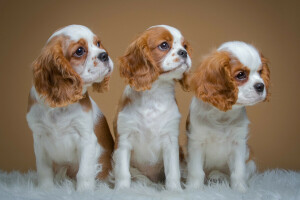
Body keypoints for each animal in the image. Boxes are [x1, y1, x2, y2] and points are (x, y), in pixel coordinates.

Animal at [26, 25, 115, 191]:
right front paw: (45, 189)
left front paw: (84, 191)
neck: (60, 107)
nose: (104, 55)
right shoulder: (39, 138)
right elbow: (44, 169)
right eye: (79, 51)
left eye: (98, 43)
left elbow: (84, 172)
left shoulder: (86, 138)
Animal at [112, 25, 192, 191]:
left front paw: (175, 190)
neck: (154, 94)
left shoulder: (170, 140)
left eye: (185, 46)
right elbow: (122, 171)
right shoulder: (123, 138)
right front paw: (122, 190)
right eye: (164, 45)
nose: (184, 52)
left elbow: (173, 171)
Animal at [186, 41, 270, 192]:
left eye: (260, 72)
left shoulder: (238, 144)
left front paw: (240, 189)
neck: (222, 115)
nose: (261, 86)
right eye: (241, 75)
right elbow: (196, 171)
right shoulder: (196, 142)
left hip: (251, 161)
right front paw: (194, 188)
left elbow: (238, 171)